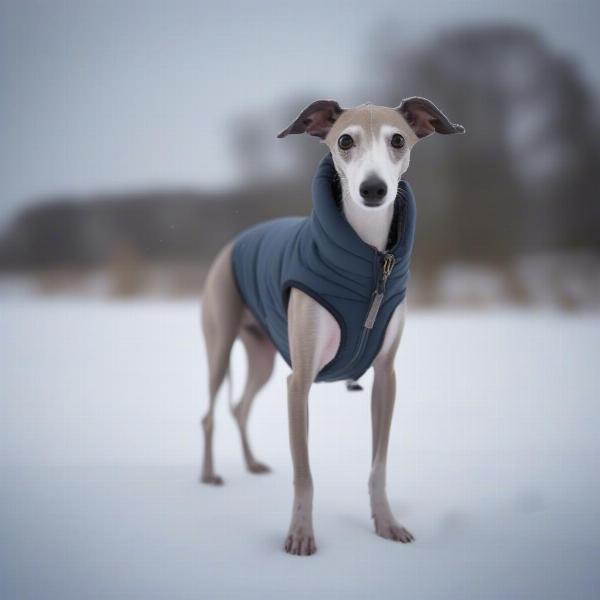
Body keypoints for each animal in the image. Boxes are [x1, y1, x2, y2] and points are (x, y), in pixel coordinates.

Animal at [200, 97, 464, 552]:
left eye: (398, 139)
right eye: (344, 141)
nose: (373, 189)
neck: (370, 261)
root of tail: (234, 242)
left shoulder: (386, 377)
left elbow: (379, 466)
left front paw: (386, 523)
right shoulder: (300, 380)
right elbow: (304, 475)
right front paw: (300, 535)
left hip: (262, 357)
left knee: (240, 406)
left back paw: (251, 464)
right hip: (220, 346)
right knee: (211, 413)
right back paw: (209, 474)